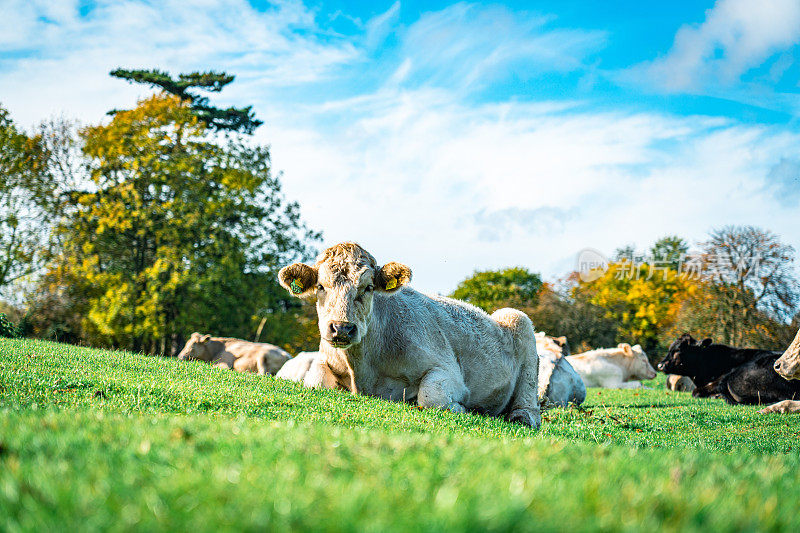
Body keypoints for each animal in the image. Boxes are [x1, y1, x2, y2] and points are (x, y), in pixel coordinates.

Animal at [276, 241, 544, 428]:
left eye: (368, 287)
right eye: (321, 286)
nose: (342, 327)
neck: (363, 369)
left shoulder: (449, 372)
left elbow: (431, 396)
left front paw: (461, 408)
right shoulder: (323, 361)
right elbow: (315, 382)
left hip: (520, 321)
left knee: (528, 405)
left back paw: (521, 416)